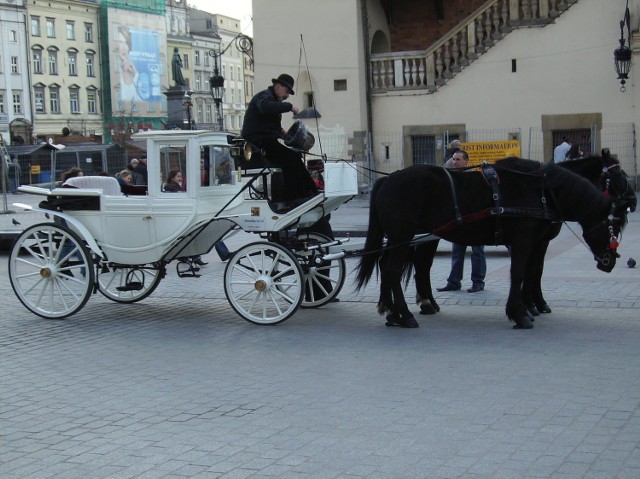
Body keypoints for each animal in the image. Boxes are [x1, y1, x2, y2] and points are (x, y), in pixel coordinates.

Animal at [358, 158, 632, 330]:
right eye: (613, 226)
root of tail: (387, 180)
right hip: (403, 237)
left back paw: (395, 311)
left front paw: (530, 306)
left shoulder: (536, 243)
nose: (610, 262)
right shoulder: (524, 241)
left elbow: (533, 272)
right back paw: (404, 314)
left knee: (396, 267)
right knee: (395, 270)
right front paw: (521, 312)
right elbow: (521, 273)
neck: (541, 189)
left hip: (405, 239)